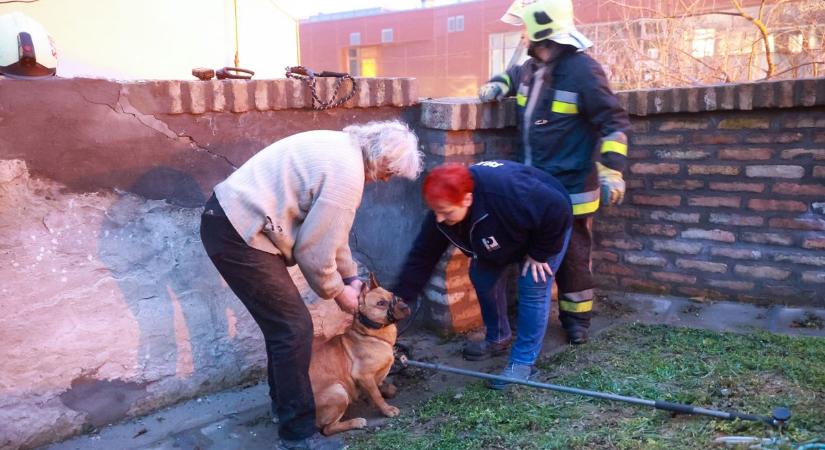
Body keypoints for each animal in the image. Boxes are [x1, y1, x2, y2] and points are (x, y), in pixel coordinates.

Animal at [308, 272, 410, 434]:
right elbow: (377, 395)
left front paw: (386, 390)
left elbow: (380, 385)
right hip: (338, 391)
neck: (370, 334)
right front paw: (386, 409)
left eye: (393, 295)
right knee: (328, 429)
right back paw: (355, 422)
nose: (406, 306)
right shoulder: (364, 376)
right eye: (381, 303)